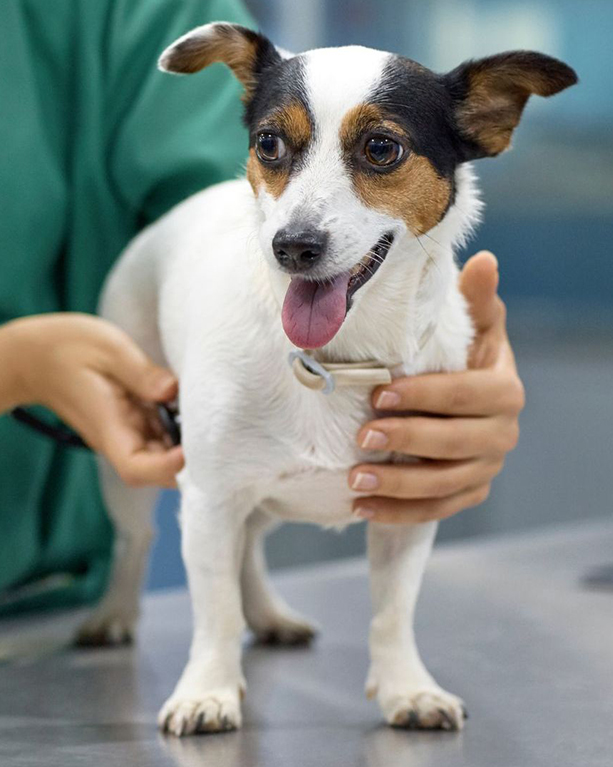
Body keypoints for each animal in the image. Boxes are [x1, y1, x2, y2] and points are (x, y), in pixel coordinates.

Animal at [75, 21, 572, 736]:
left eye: (382, 148)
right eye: (269, 143)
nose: (292, 246)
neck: (338, 361)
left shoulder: (409, 507)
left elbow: (392, 612)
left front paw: (406, 688)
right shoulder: (209, 498)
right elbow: (213, 610)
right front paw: (207, 691)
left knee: (250, 548)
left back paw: (269, 615)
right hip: (134, 460)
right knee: (136, 540)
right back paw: (112, 615)